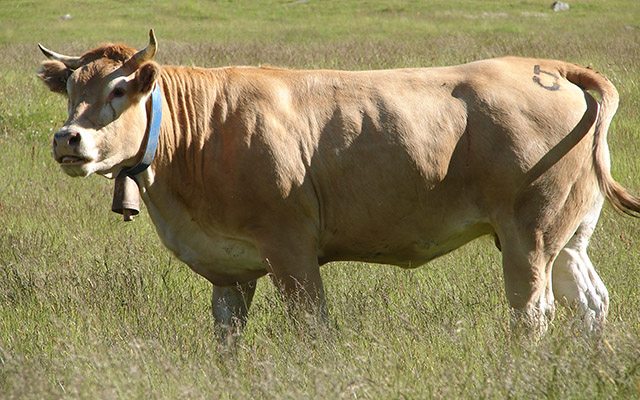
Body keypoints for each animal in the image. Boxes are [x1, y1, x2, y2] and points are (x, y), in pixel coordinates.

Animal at [38, 29, 640, 340]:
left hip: (528, 234)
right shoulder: (228, 269)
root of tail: (549, 67)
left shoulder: (290, 248)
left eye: (119, 90)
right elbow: (227, 338)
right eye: (71, 88)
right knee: (591, 301)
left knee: (532, 313)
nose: (67, 137)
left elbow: (312, 327)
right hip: (568, 234)